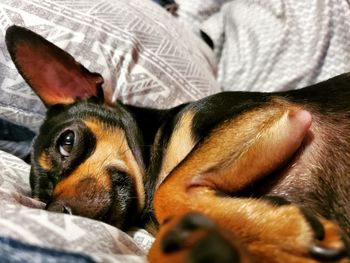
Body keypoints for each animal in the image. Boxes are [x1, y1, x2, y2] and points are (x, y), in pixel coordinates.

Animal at [4, 25, 350, 262]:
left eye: (66, 142)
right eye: (42, 198)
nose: (55, 210)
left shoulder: (273, 113)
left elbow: (167, 189)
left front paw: (288, 234)